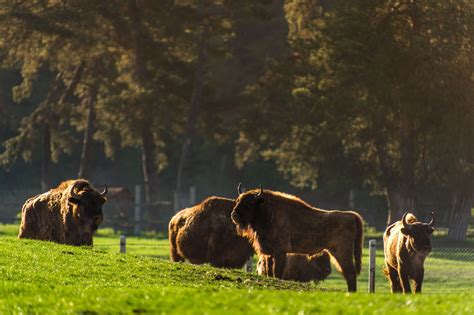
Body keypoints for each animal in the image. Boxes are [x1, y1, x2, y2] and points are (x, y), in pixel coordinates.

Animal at [232, 186, 362, 292]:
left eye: (249, 203)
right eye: (238, 200)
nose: (234, 215)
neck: (268, 211)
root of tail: (351, 215)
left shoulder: (280, 251)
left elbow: (276, 271)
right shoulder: (269, 253)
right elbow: (269, 271)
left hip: (341, 253)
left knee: (350, 273)